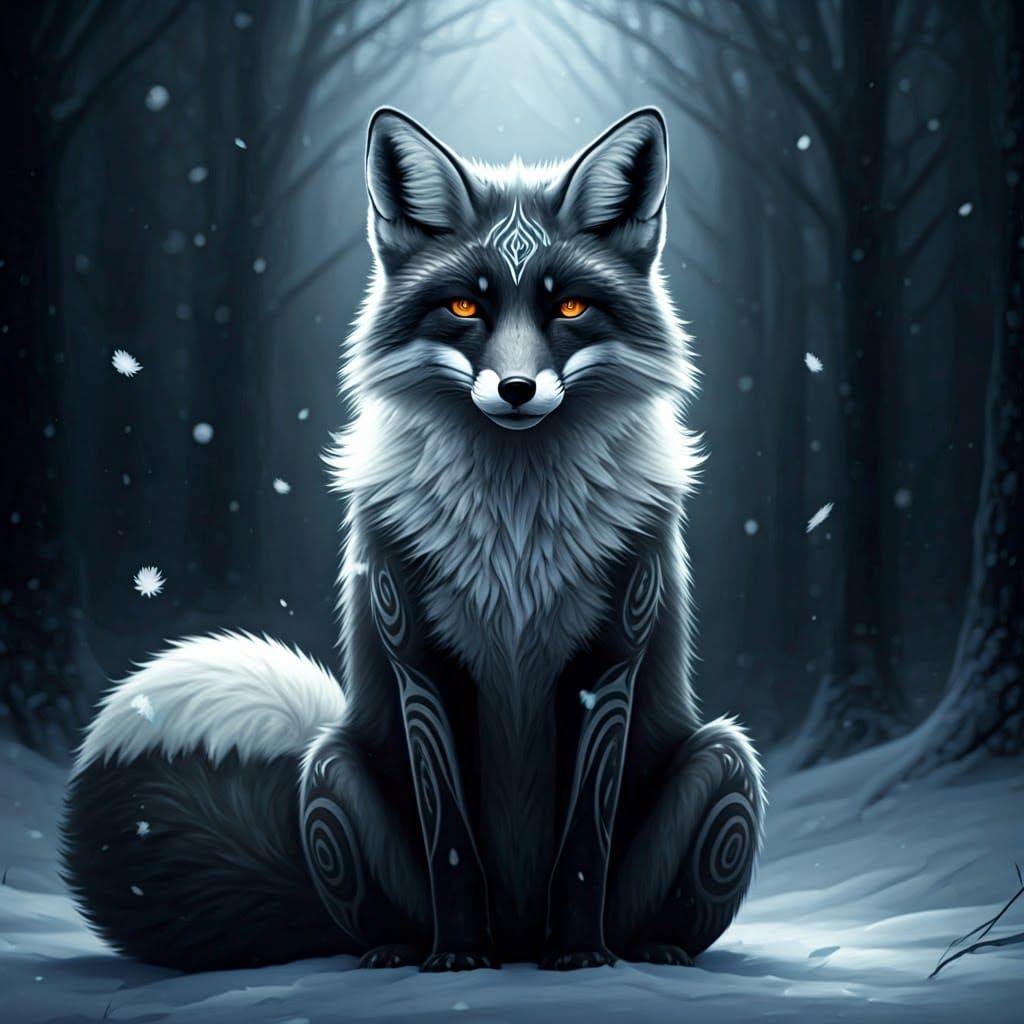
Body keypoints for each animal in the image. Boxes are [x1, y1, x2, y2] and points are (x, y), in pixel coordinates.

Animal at [61, 107, 766, 972]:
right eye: (465, 309)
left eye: (569, 310)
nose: (517, 389)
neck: (515, 540)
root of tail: (517, 936)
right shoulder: (419, 664)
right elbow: (452, 845)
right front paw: (457, 958)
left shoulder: (609, 664)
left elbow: (582, 849)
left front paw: (579, 958)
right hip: (329, 771)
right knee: (364, 914)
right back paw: (400, 948)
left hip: (725, 759)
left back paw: (649, 948)